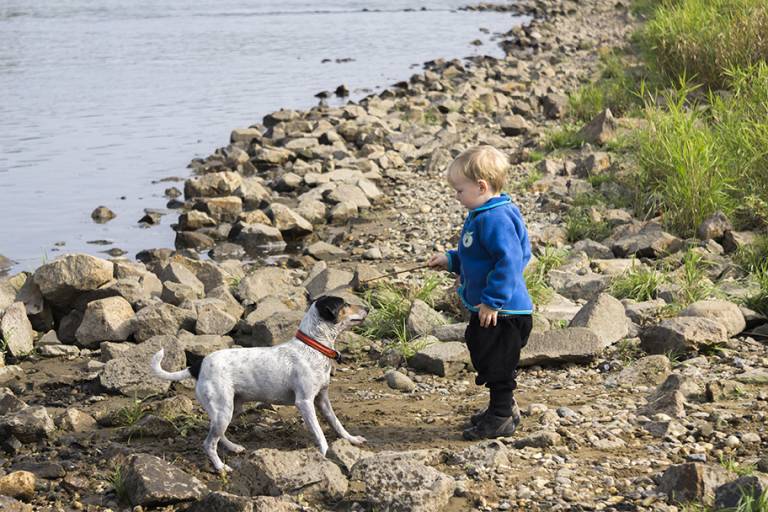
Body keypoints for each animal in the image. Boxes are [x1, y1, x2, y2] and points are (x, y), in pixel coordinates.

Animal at [152, 296, 368, 472]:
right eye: (345, 304)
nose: (367, 308)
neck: (313, 346)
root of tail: (198, 366)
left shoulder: (322, 399)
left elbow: (336, 423)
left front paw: (351, 439)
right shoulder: (305, 402)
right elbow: (320, 433)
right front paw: (324, 455)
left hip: (231, 409)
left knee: (215, 433)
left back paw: (233, 447)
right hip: (224, 410)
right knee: (208, 443)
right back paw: (221, 467)